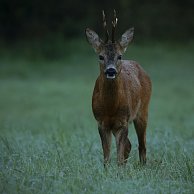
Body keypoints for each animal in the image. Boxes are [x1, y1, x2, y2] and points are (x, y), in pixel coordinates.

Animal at [86, 10, 152, 165]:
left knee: (142, 145)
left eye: (119, 56)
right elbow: (107, 157)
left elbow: (119, 157)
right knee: (130, 144)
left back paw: (143, 165)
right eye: (101, 56)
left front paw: (120, 170)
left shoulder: (123, 121)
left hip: (143, 110)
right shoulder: (101, 122)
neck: (110, 107)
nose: (111, 70)